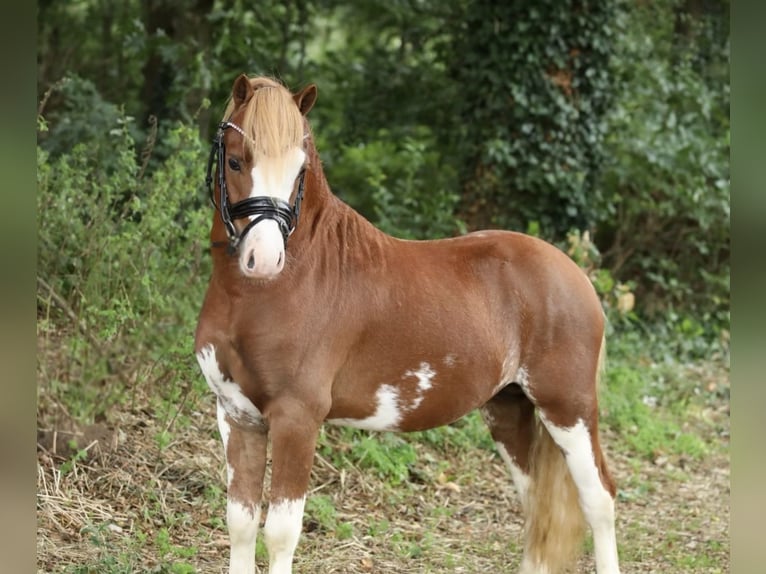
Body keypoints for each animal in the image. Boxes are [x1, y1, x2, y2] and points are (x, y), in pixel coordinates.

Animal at [194, 74, 621, 574]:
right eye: (236, 160)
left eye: (299, 171)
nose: (264, 259)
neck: (264, 295)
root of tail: (575, 275)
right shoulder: (236, 414)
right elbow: (240, 523)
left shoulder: (296, 418)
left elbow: (280, 534)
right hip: (508, 409)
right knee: (538, 507)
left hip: (568, 408)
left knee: (598, 499)